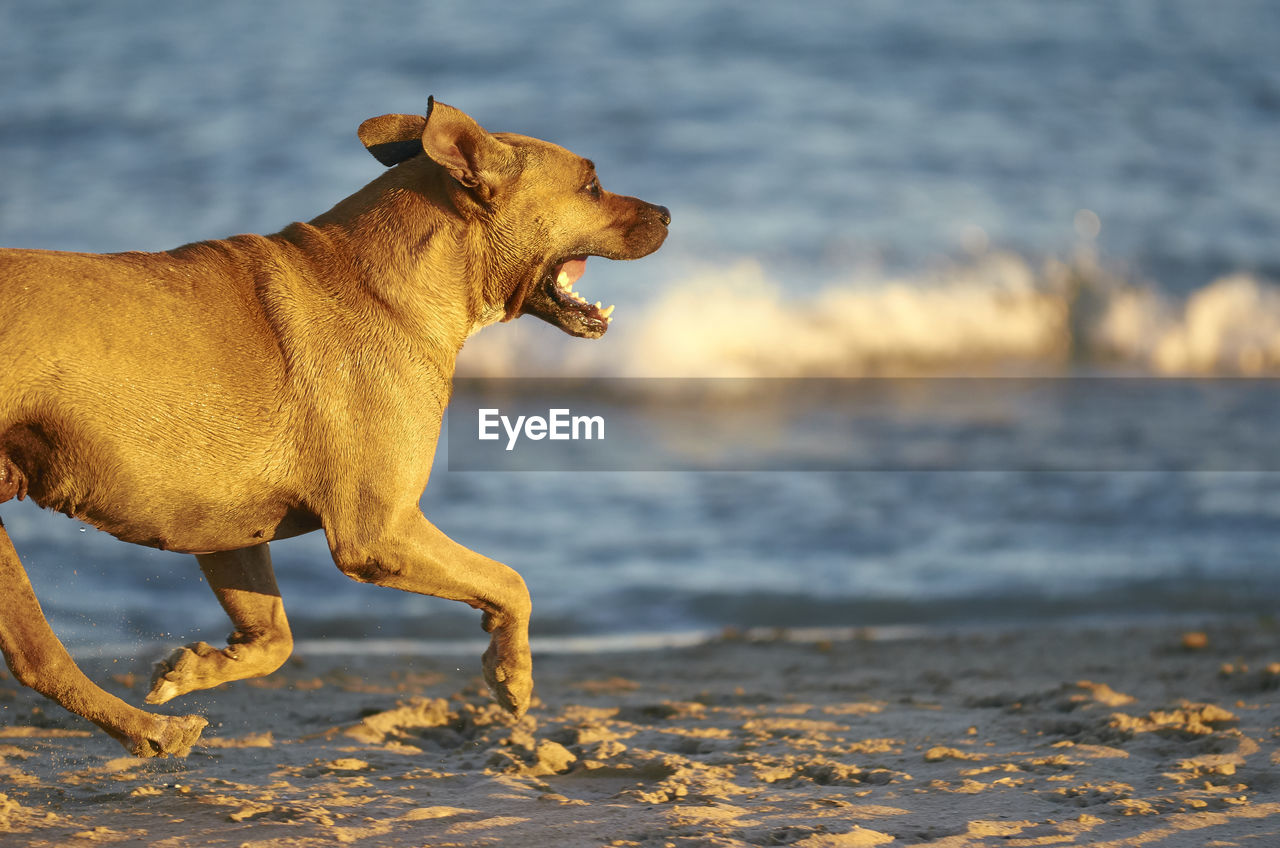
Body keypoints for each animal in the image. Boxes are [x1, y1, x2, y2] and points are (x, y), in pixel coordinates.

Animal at [0, 99, 675, 758]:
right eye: (590, 186)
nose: (669, 213)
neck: (390, 285)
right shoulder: (380, 532)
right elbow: (511, 581)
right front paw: (513, 674)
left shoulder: (223, 524)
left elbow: (274, 638)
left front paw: (195, 668)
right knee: (40, 657)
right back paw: (152, 733)